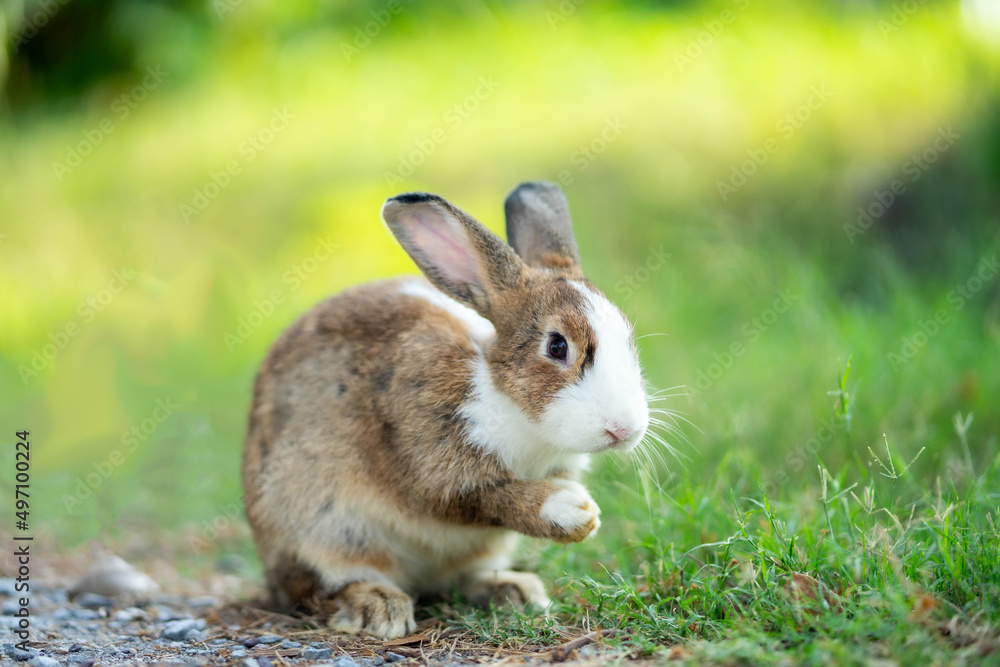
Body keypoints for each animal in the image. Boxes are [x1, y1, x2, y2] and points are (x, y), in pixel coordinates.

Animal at [242, 181, 650, 639]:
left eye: (628, 338)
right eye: (557, 346)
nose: (624, 429)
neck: (505, 399)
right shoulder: (432, 465)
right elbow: (487, 498)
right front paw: (575, 512)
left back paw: (516, 591)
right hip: (325, 530)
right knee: (321, 587)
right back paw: (380, 608)